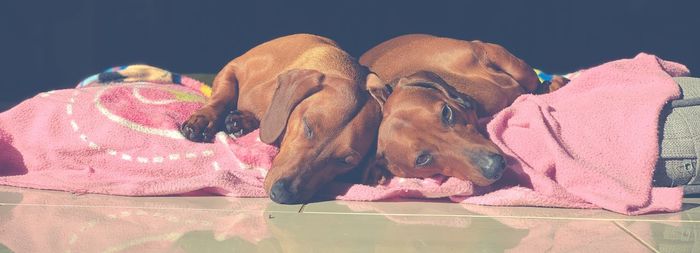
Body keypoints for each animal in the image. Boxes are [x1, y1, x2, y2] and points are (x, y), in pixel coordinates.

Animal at [178, 33, 380, 204]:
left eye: (346, 161)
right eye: (308, 126)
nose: (282, 194)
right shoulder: (233, 67)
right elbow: (222, 97)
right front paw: (203, 120)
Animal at [360, 34, 564, 186]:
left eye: (446, 113)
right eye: (422, 159)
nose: (493, 166)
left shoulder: (487, 50)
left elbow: (528, 76)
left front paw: (552, 85)